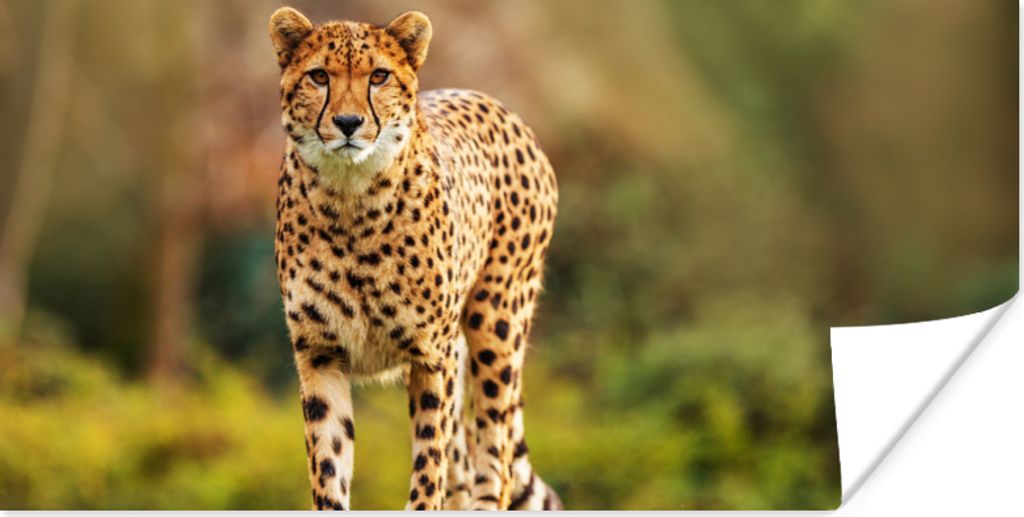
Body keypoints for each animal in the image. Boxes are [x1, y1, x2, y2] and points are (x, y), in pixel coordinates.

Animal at [268, 7, 562, 511]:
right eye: (320, 76)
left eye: (379, 76)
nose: (348, 122)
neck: (350, 197)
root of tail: (499, 106)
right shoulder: (321, 354)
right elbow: (329, 464)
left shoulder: (430, 356)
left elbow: (430, 461)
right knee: (464, 461)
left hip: (495, 321)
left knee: (494, 449)